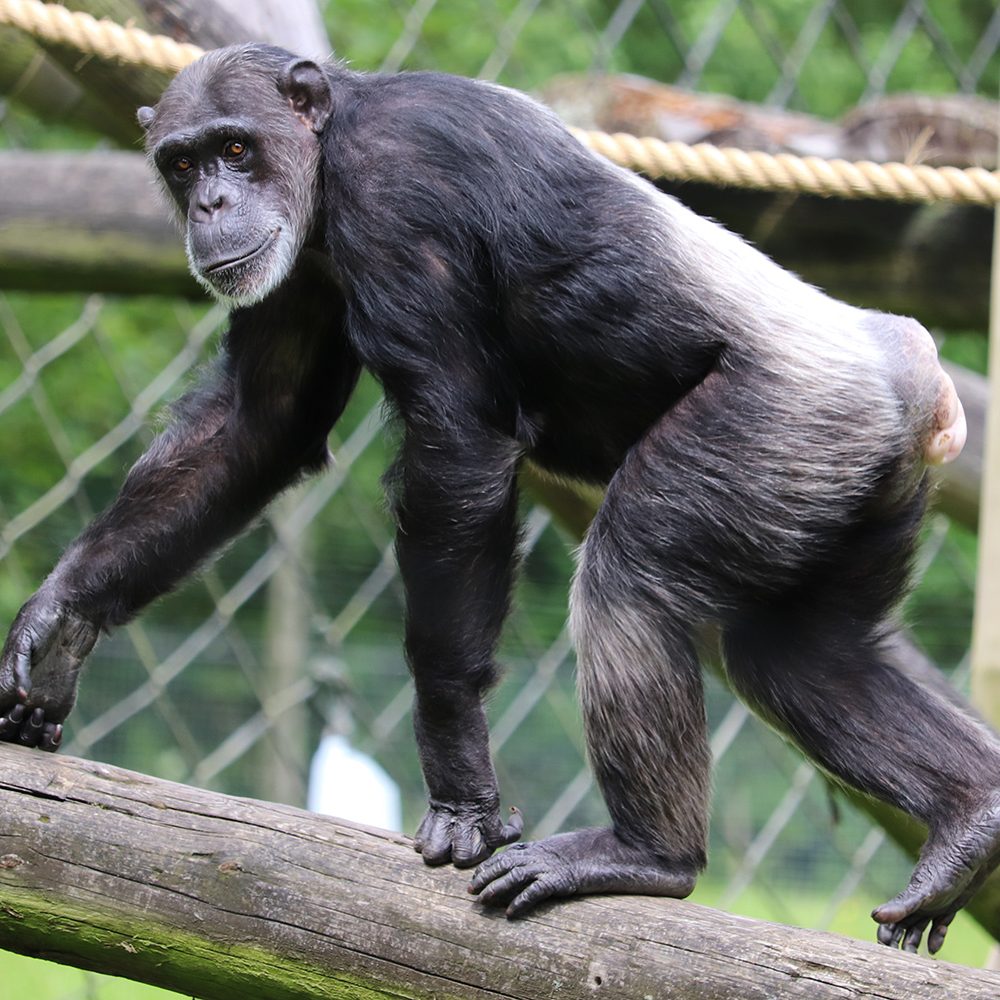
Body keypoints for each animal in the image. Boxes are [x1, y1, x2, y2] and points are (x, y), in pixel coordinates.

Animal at [0, 47, 988, 952]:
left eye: (236, 149)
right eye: (182, 163)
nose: (209, 203)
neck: (329, 155)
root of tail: (924, 389)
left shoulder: (400, 193)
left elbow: (456, 436)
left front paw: (462, 792)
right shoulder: (295, 271)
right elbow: (258, 422)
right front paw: (57, 625)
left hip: (778, 424)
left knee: (633, 577)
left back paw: (647, 854)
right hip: (845, 483)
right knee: (799, 656)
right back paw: (967, 820)